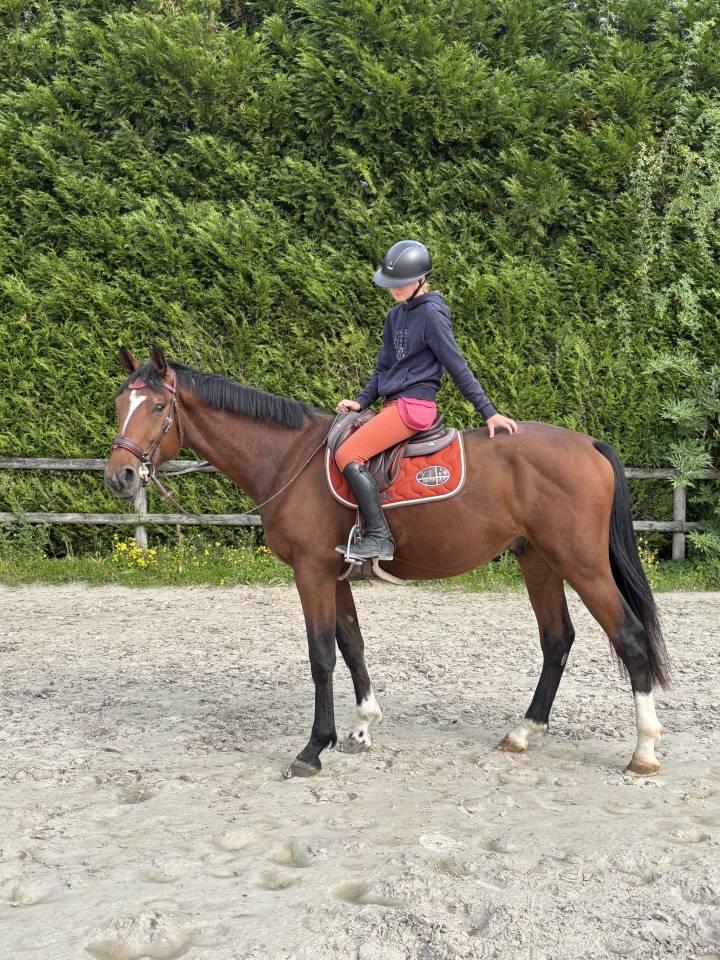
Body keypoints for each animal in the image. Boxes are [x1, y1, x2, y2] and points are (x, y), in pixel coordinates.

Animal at [104, 346, 669, 780]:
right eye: (118, 403)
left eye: (157, 406)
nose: (120, 476)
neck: (288, 458)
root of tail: (588, 443)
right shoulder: (334, 574)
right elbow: (351, 643)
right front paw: (362, 726)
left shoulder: (310, 573)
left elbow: (321, 655)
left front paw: (314, 748)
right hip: (540, 562)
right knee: (556, 640)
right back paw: (523, 732)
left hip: (582, 564)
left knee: (629, 637)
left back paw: (643, 751)